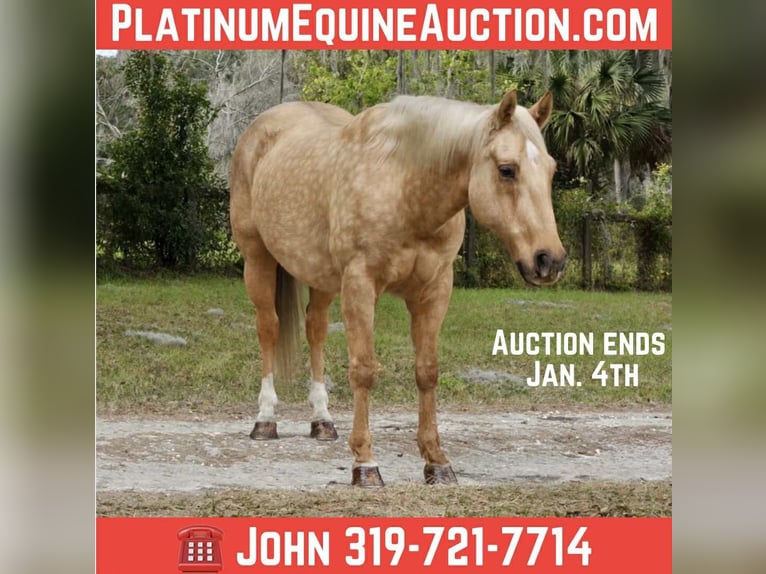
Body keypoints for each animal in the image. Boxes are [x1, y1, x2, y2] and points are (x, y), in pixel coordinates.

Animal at [229, 90, 566, 487]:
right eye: (507, 169)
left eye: (551, 170)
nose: (549, 260)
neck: (404, 187)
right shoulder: (360, 284)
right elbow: (364, 370)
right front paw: (364, 464)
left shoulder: (434, 291)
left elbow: (427, 371)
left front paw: (437, 461)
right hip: (258, 259)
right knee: (268, 328)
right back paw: (265, 419)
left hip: (321, 277)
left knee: (316, 331)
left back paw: (322, 420)